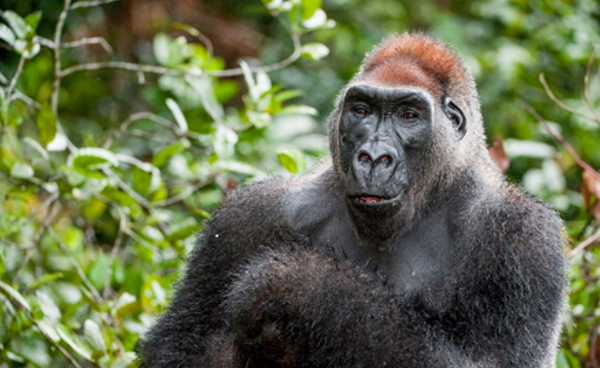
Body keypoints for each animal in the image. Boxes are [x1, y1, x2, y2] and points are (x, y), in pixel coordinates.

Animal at [139, 33, 568, 366]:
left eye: (409, 115)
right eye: (362, 110)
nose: (373, 157)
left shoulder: (528, 240)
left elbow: (494, 361)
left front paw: (299, 286)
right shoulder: (250, 214)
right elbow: (183, 341)